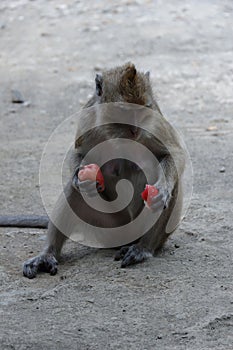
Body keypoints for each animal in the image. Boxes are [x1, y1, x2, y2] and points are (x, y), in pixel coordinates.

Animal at [21, 61, 186, 278]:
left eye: (143, 110)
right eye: (124, 111)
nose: (135, 131)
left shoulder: (154, 123)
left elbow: (173, 154)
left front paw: (163, 189)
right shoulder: (88, 120)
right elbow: (78, 154)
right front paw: (80, 178)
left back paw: (143, 248)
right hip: (109, 228)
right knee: (75, 192)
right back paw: (48, 254)